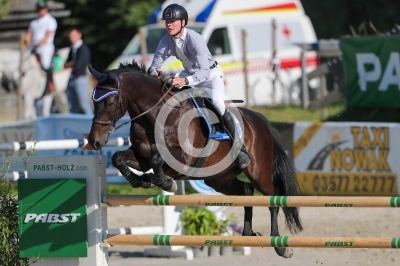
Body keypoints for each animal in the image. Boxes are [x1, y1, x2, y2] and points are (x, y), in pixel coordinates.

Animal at [86, 61, 302, 258]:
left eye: (109, 103)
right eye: (94, 102)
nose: (95, 141)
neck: (155, 116)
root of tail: (259, 119)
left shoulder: (184, 158)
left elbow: (157, 160)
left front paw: (164, 182)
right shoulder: (141, 157)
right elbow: (119, 158)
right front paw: (141, 181)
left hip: (258, 172)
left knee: (272, 199)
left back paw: (280, 246)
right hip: (219, 179)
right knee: (247, 191)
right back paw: (248, 232)